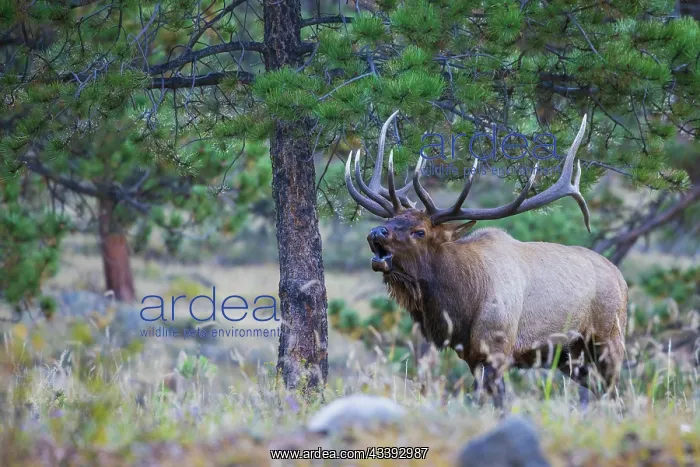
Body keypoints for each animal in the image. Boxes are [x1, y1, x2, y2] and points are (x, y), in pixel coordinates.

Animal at [344, 110, 628, 408]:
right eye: (389, 220)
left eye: (419, 231)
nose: (375, 232)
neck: (461, 305)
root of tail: (621, 279)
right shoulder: (472, 356)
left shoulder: (498, 347)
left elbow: (496, 401)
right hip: (569, 356)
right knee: (601, 389)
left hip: (609, 338)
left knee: (614, 391)